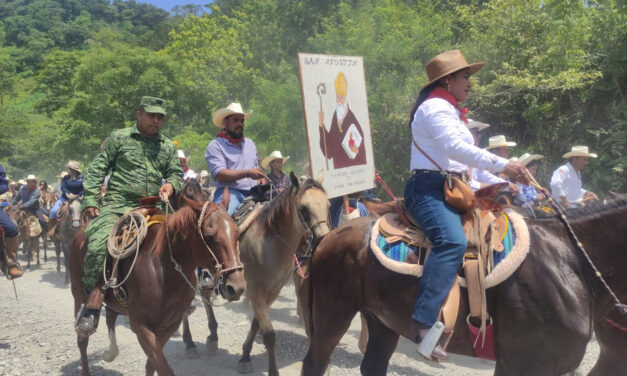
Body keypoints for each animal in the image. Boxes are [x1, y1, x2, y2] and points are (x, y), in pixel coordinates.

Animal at [68, 180, 245, 376]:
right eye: (209, 237)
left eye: (238, 234)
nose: (236, 287)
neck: (163, 272)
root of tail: (80, 232)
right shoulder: (142, 327)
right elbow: (163, 367)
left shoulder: (169, 325)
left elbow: (151, 364)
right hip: (78, 293)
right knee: (82, 340)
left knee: (111, 318)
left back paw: (110, 352)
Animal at [300, 197, 627, 376]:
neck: (571, 261)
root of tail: (329, 237)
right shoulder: (526, 363)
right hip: (332, 317)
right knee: (314, 364)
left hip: (381, 322)